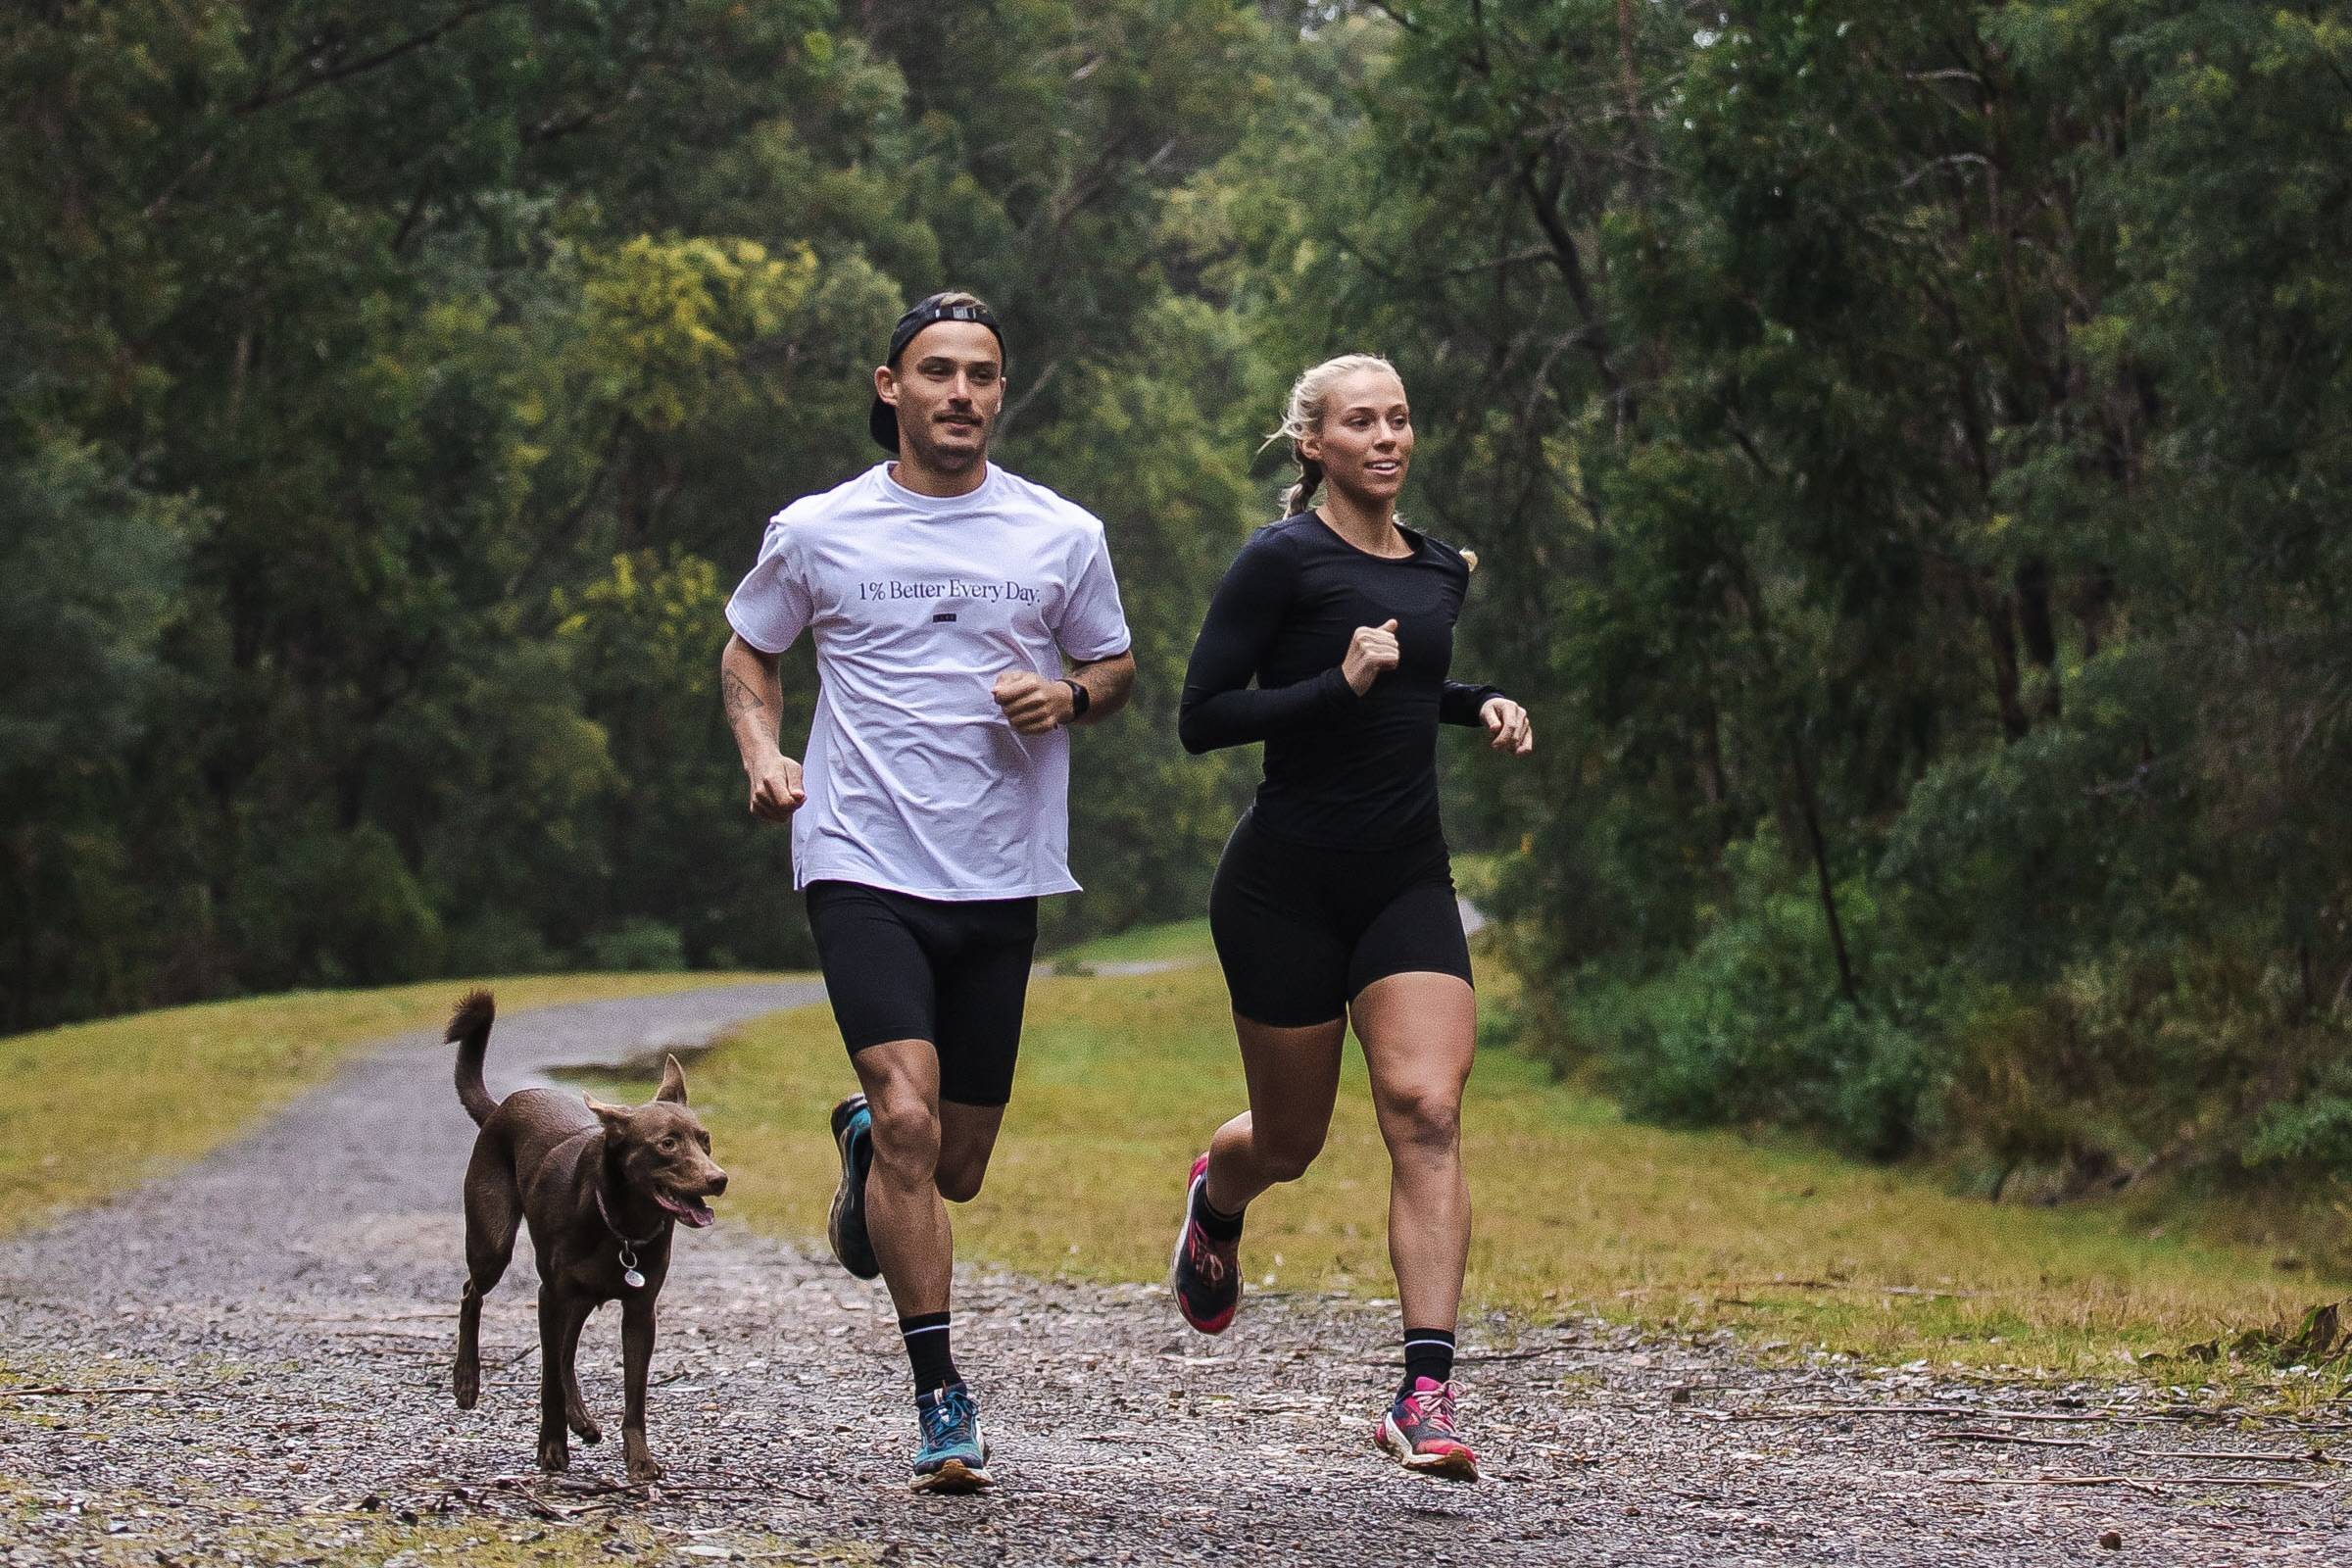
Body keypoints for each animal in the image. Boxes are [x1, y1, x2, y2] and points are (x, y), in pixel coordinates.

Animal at [444, 992, 724, 1486]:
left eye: (704, 1139)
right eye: (667, 1144)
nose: (720, 1179)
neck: (622, 1225)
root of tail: (499, 1109)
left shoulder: (640, 1310)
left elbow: (633, 1393)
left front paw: (639, 1459)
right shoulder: (549, 1295)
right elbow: (549, 1379)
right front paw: (552, 1448)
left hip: (576, 1296)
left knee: (567, 1353)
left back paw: (581, 1419)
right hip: (493, 1243)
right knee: (471, 1293)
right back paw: (467, 1381)